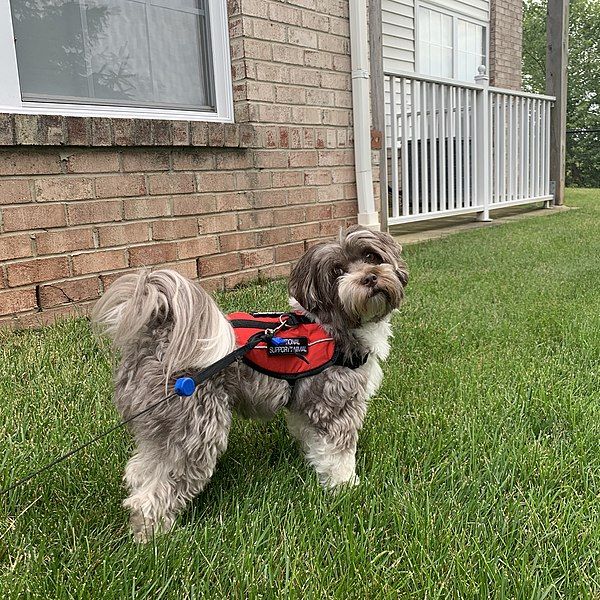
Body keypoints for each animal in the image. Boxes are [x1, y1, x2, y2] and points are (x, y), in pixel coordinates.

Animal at [91, 226, 410, 544]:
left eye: (371, 256)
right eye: (337, 272)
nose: (370, 277)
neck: (333, 325)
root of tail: (158, 336)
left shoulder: (304, 406)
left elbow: (314, 443)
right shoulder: (335, 404)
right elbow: (339, 454)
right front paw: (346, 487)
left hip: (160, 429)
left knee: (140, 472)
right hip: (196, 430)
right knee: (152, 494)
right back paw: (154, 538)